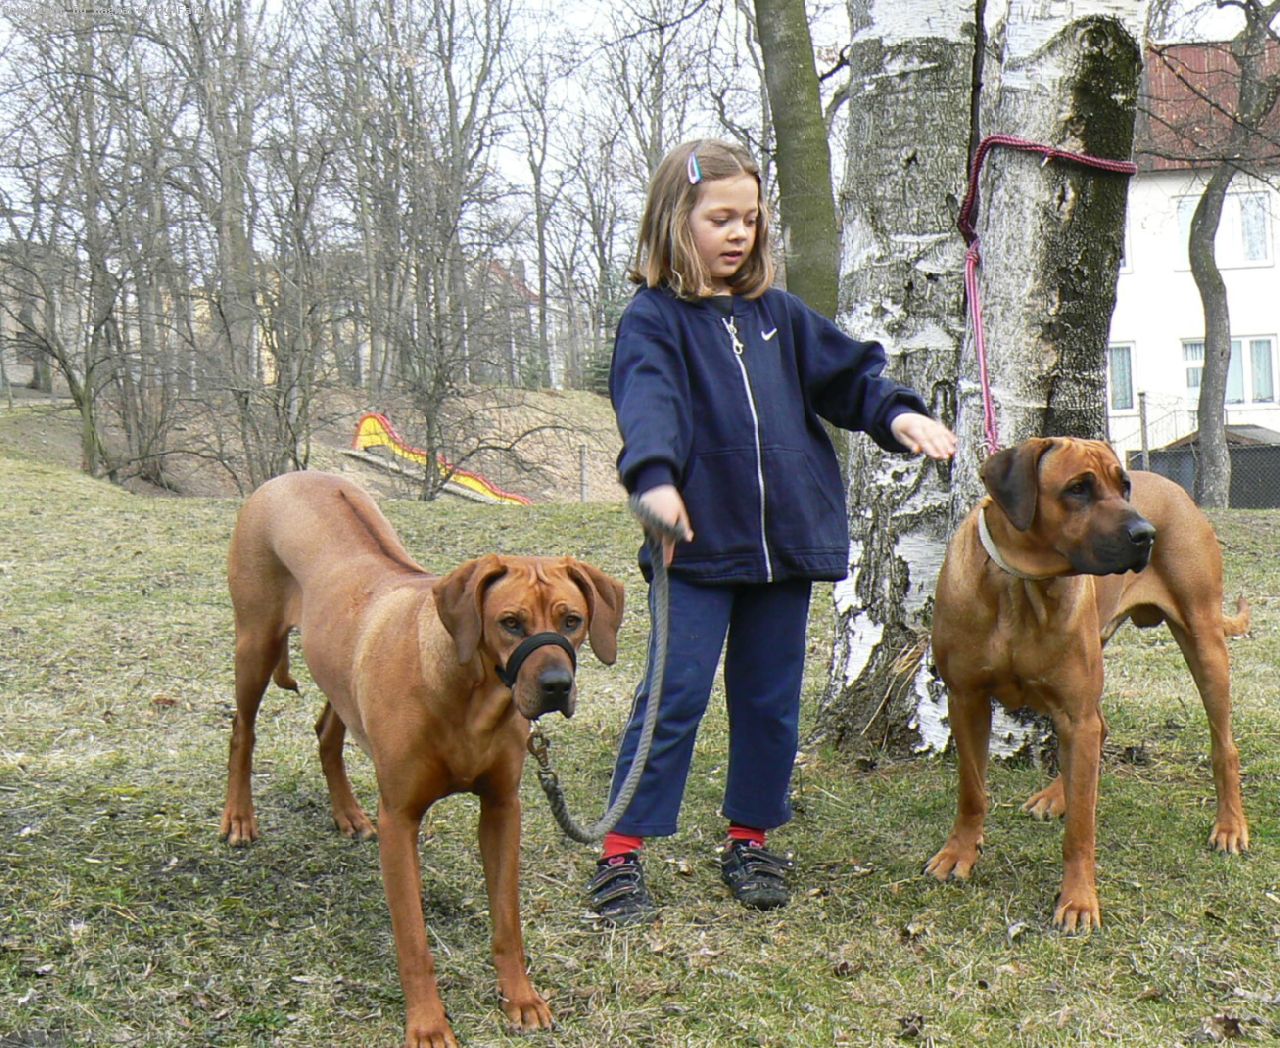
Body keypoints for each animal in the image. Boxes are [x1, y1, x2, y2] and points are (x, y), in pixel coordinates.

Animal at [221, 470, 624, 1047]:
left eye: (572, 620)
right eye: (510, 622)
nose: (555, 686)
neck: (471, 701)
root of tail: (291, 474)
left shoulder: (502, 809)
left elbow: (508, 920)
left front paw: (521, 998)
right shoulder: (401, 820)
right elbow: (413, 940)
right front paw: (429, 1024)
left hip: (339, 668)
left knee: (326, 731)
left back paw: (347, 813)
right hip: (254, 641)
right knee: (242, 730)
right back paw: (239, 818)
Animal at [929, 437, 1161, 931]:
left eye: (1124, 486)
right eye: (1078, 488)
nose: (1146, 534)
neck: (1021, 583)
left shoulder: (1074, 712)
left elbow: (1081, 830)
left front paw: (1078, 899)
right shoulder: (966, 699)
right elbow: (971, 790)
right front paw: (960, 852)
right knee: (1099, 728)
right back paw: (1059, 794)